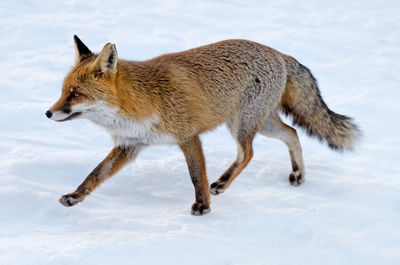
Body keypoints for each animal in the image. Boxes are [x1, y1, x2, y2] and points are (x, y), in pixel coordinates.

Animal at [45, 35, 360, 214]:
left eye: (75, 94)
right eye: (62, 91)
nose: (48, 113)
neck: (142, 101)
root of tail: (278, 53)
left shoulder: (189, 136)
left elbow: (197, 176)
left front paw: (203, 206)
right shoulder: (130, 145)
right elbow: (95, 175)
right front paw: (75, 196)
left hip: (242, 125)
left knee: (248, 153)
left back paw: (222, 182)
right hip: (263, 124)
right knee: (293, 134)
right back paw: (298, 173)